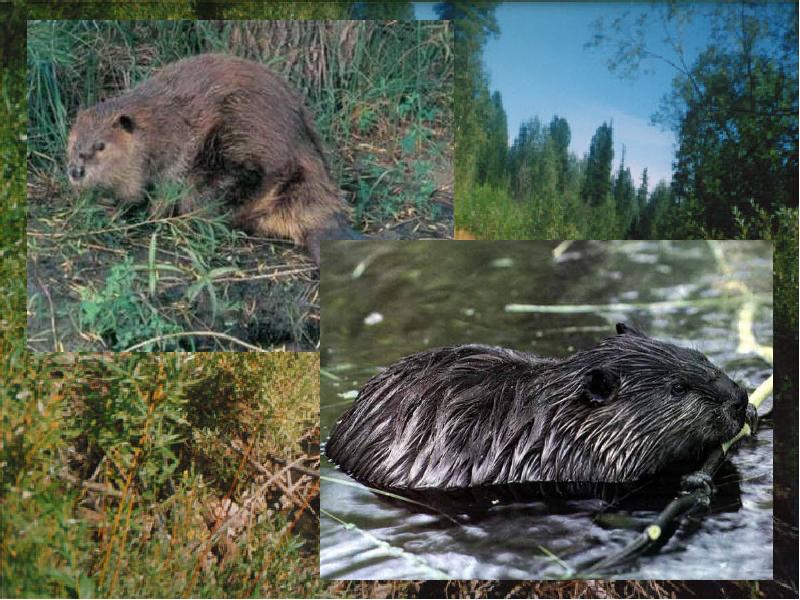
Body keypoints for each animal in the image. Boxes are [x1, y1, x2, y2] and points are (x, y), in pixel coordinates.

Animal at [67, 52, 354, 264]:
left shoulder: (175, 153)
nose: (76, 171)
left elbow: (159, 192)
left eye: (100, 145)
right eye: (72, 141)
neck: (157, 124)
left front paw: (139, 214)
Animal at [324, 326, 752, 490]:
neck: (553, 419)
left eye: (699, 355)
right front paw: (698, 477)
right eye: (677, 388)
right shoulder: (578, 460)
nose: (739, 399)